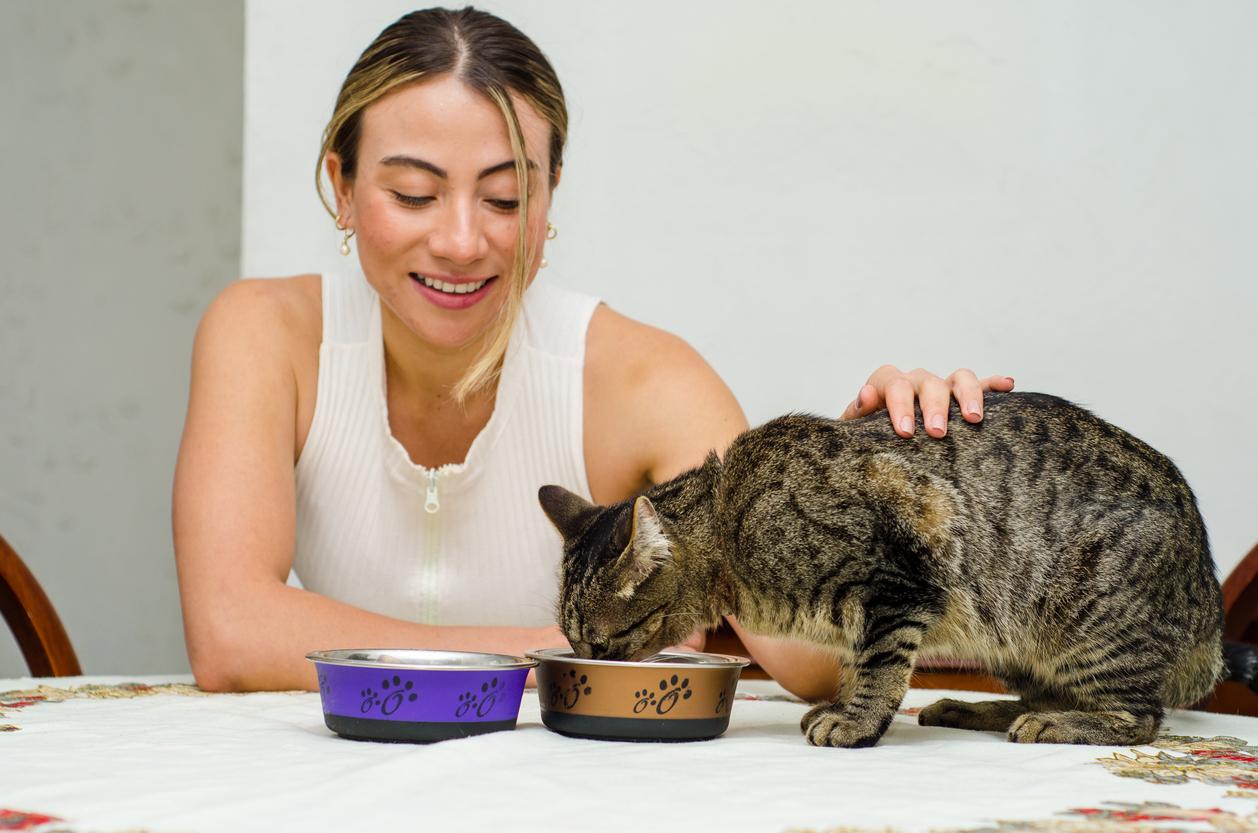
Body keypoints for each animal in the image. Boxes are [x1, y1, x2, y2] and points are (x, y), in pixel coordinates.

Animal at [535, 392, 1222, 749]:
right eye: (575, 642)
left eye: (605, 643)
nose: (586, 663)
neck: (730, 522)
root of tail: (1208, 589)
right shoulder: (860, 614)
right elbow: (852, 660)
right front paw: (841, 702)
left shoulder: (899, 579)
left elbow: (879, 665)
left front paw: (856, 719)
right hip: (1013, 643)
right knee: (1044, 690)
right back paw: (977, 711)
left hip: (1086, 622)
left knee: (1139, 719)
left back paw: (1058, 723)